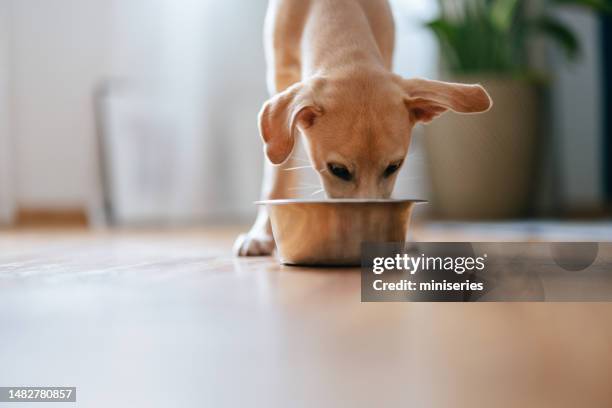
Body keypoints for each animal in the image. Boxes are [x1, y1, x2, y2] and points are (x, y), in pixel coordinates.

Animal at [234, 0, 492, 255]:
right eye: (338, 170)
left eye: (394, 167)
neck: (336, 12)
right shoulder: (281, 79)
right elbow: (277, 175)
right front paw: (260, 235)